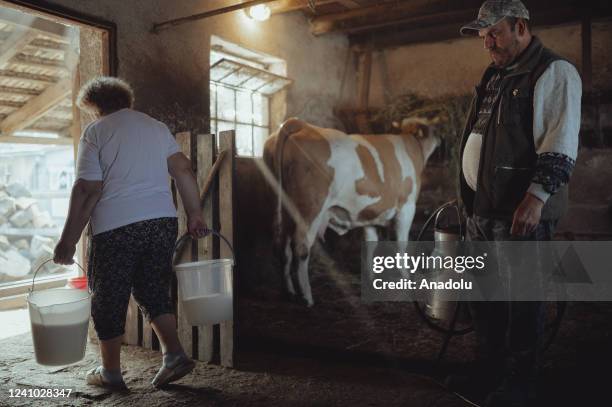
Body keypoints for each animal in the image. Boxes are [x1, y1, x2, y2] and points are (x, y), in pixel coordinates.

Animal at [262, 117, 440, 306]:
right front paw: (406, 279)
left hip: (281, 209)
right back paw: (307, 297)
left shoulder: (370, 214)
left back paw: (288, 291)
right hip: (310, 210)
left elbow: (371, 244)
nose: (441, 138)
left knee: (283, 247)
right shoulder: (407, 207)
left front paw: (371, 279)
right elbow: (401, 246)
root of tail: (300, 124)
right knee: (301, 247)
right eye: (434, 130)